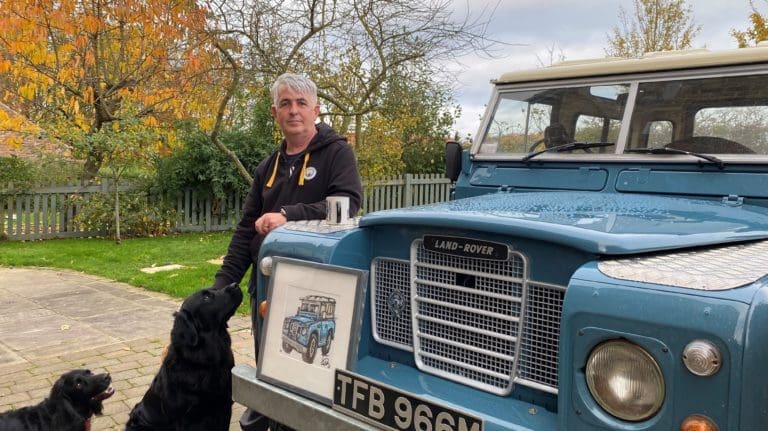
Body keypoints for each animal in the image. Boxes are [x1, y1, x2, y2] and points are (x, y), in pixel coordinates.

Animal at [125, 284, 243, 431]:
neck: (207, 361)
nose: (235, 285)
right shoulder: (184, 419)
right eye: (206, 297)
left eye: (215, 290)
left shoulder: (224, 408)